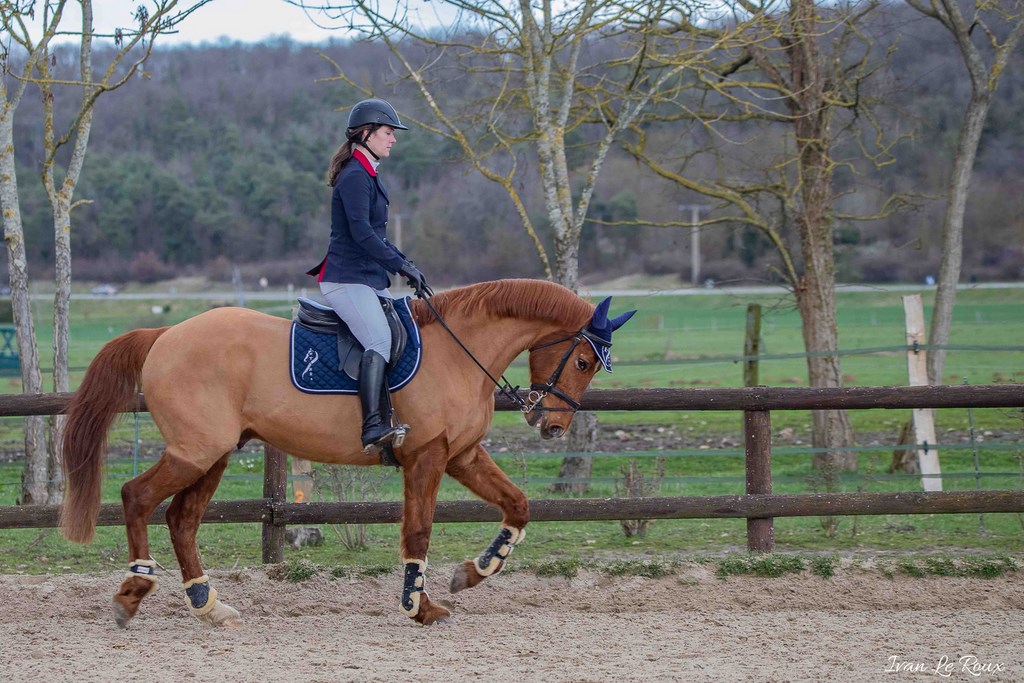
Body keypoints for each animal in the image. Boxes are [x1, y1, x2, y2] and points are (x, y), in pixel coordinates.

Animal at [59, 278, 634, 626]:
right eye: (583, 361)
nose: (553, 425)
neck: (459, 351)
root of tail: (165, 334)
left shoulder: (462, 456)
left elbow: (518, 504)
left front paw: (472, 573)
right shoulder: (427, 458)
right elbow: (418, 530)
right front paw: (418, 605)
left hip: (212, 454)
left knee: (182, 519)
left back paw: (209, 605)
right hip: (194, 451)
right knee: (137, 497)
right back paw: (134, 591)